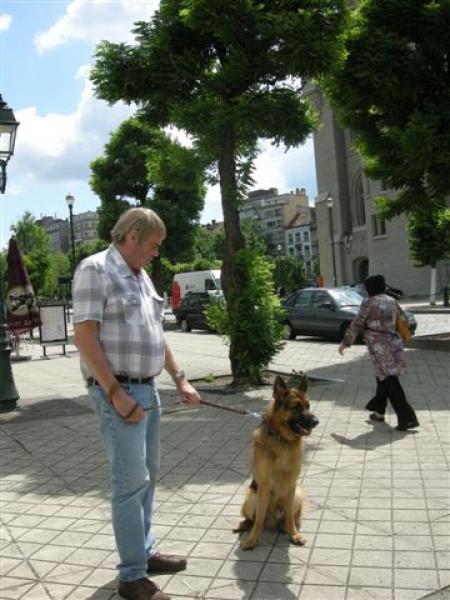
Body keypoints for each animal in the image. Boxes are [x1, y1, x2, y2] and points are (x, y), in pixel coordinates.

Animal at [234, 376, 318, 552]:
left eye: (308, 406)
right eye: (296, 407)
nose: (316, 421)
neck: (282, 439)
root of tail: (272, 521)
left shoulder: (292, 485)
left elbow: (290, 517)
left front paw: (294, 534)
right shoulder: (264, 485)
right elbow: (258, 519)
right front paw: (252, 539)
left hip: (298, 494)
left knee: (291, 517)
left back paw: (287, 528)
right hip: (251, 496)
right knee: (253, 519)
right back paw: (244, 525)